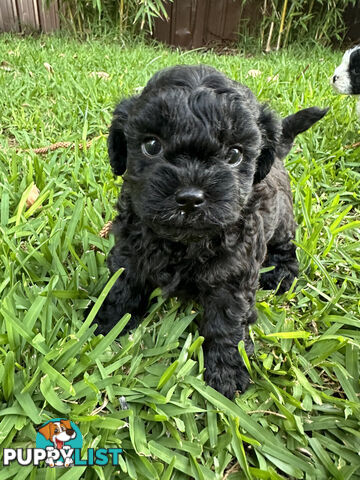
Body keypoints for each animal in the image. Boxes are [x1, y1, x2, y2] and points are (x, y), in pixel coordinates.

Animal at [88, 65, 328, 400]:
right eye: (151, 146)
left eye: (235, 155)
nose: (190, 197)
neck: (184, 242)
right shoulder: (130, 247)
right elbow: (122, 288)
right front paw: (104, 325)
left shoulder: (234, 270)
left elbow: (226, 320)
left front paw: (227, 369)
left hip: (282, 218)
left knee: (285, 245)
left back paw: (281, 273)